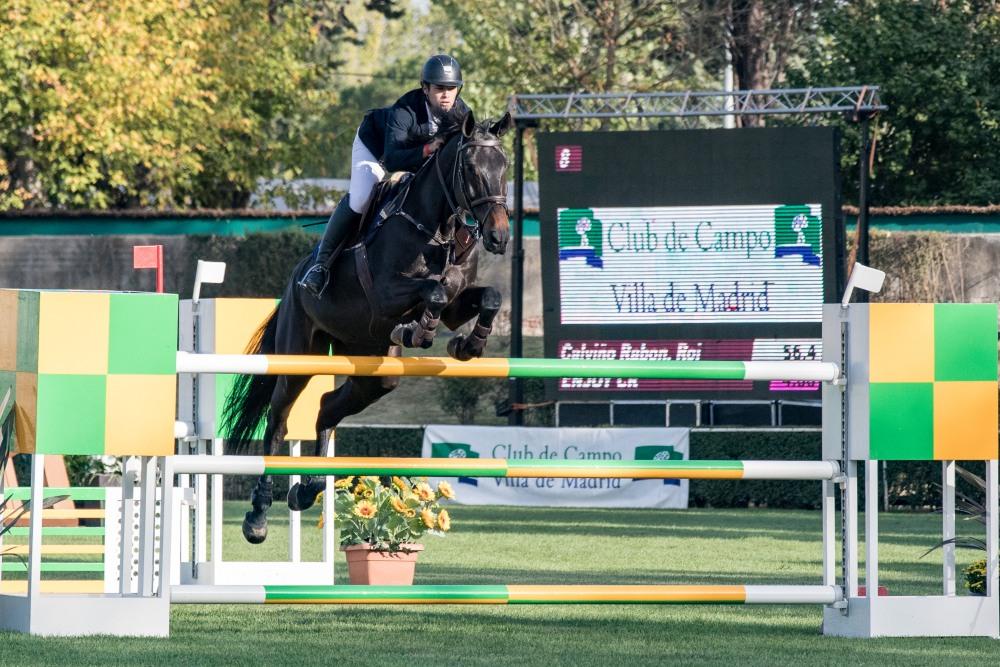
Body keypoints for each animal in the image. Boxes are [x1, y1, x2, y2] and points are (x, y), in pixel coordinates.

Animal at [222, 112, 512, 544]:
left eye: (505, 168)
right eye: (473, 170)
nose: (498, 237)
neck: (437, 229)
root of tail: (293, 277)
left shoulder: (458, 304)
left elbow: (487, 296)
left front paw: (468, 345)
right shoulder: (388, 293)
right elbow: (433, 291)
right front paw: (418, 331)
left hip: (372, 370)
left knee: (328, 406)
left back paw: (308, 489)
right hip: (299, 355)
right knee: (277, 422)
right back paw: (257, 517)